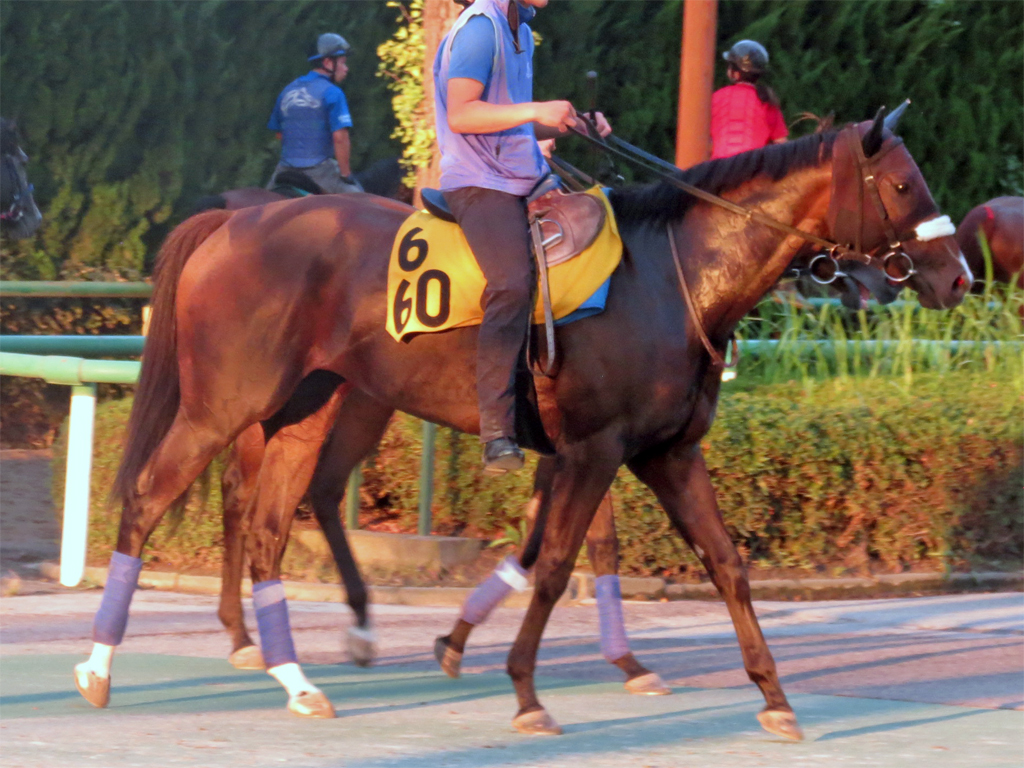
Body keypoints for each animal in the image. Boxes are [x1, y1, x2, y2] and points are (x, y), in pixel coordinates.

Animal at [74, 109, 966, 741]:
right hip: (226, 405)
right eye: (902, 186)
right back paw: (99, 667)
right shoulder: (596, 450)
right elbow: (558, 562)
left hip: (304, 409)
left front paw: (774, 695)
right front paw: (527, 691)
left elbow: (723, 565)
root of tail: (231, 222)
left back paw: (296, 679)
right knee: (151, 499)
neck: (671, 275)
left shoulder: (664, 453)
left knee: (265, 524)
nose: (958, 276)